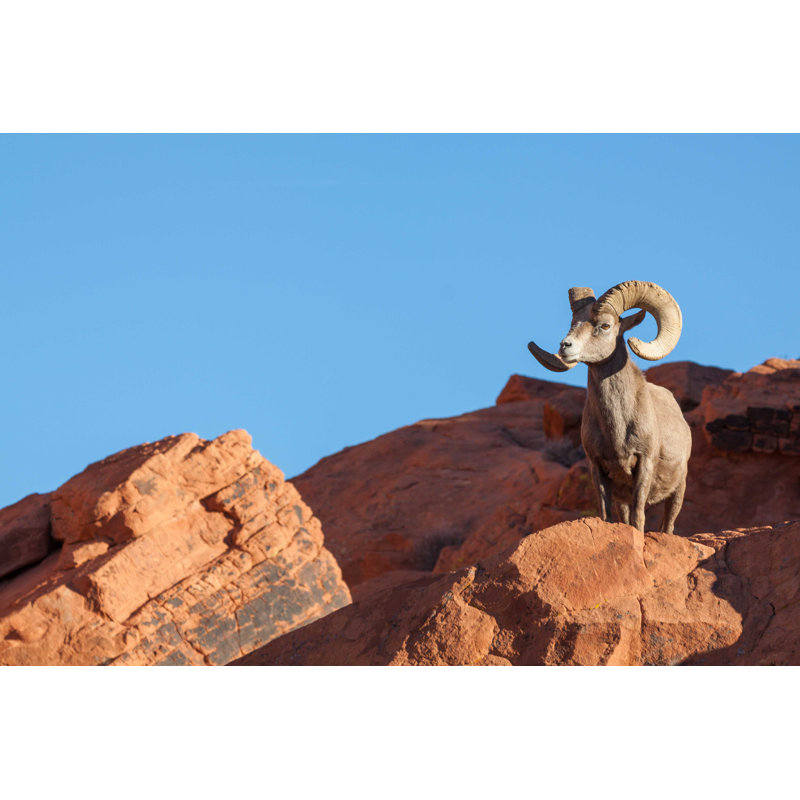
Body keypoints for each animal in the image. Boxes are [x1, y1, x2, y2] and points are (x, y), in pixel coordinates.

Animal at [527, 280, 692, 533]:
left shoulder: (644, 464)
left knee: (668, 526)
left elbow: (638, 517)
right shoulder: (598, 468)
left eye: (605, 325)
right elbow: (606, 516)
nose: (565, 346)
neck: (617, 428)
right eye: (573, 324)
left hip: (677, 491)